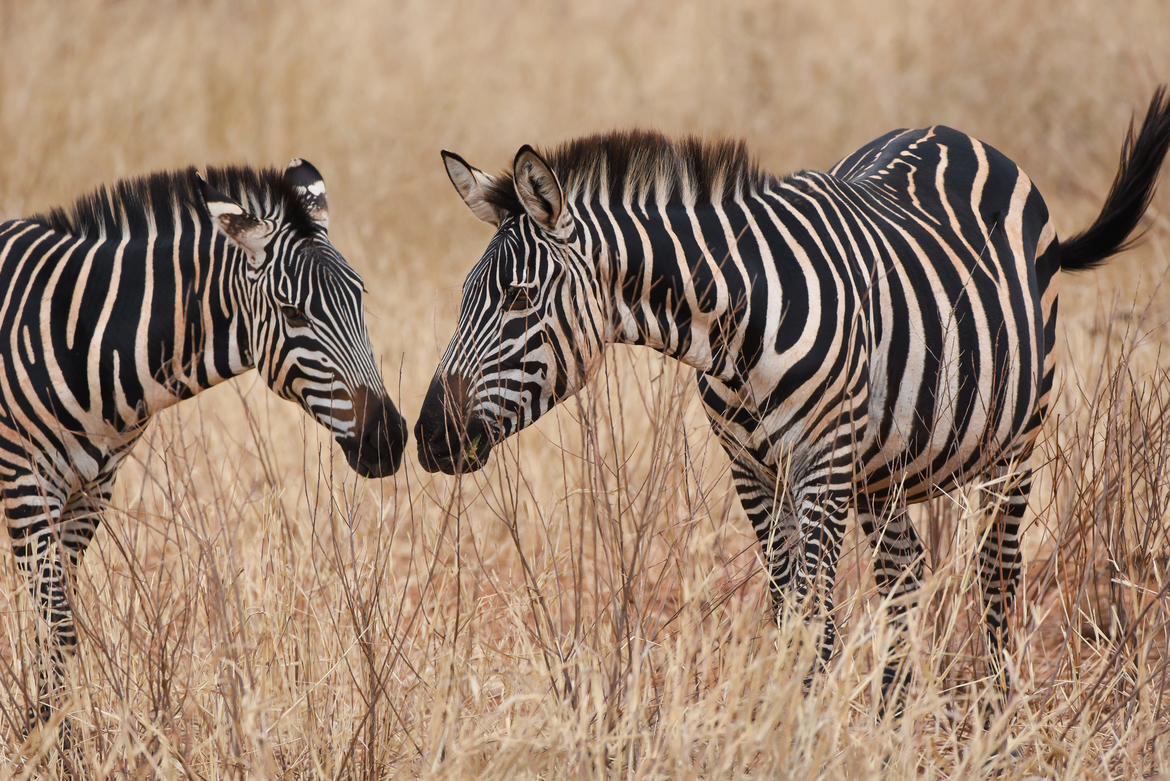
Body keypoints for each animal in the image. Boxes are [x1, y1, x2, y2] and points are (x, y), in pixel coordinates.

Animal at [1, 159, 407, 726]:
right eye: (293, 313)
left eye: (360, 298)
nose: (389, 439)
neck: (84, 336)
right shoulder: (26, 484)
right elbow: (57, 624)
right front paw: (52, 739)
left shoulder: (90, 490)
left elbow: (56, 626)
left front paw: (48, 729)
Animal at [415, 88, 1170, 716]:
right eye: (463, 298)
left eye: (518, 300)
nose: (427, 436)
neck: (733, 324)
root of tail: (955, 132)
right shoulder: (752, 470)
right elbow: (789, 615)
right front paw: (791, 722)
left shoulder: (822, 463)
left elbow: (818, 619)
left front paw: (801, 733)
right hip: (883, 470)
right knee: (904, 572)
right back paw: (890, 722)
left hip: (1012, 442)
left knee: (997, 572)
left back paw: (995, 712)